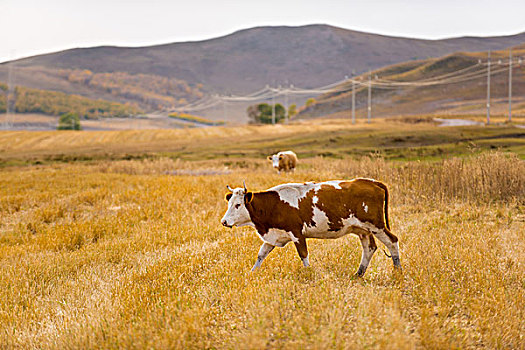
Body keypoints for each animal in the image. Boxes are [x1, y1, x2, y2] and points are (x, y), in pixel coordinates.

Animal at [219, 180, 400, 276]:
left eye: (238, 205)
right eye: (229, 203)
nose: (224, 221)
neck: (275, 204)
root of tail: (371, 182)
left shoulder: (297, 234)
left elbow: (303, 255)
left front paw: (309, 273)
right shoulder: (273, 236)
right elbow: (261, 255)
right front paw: (251, 273)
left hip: (377, 225)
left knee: (392, 241)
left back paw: (397, 270)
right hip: (363, 230)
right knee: (369, 248)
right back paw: (358, 274)